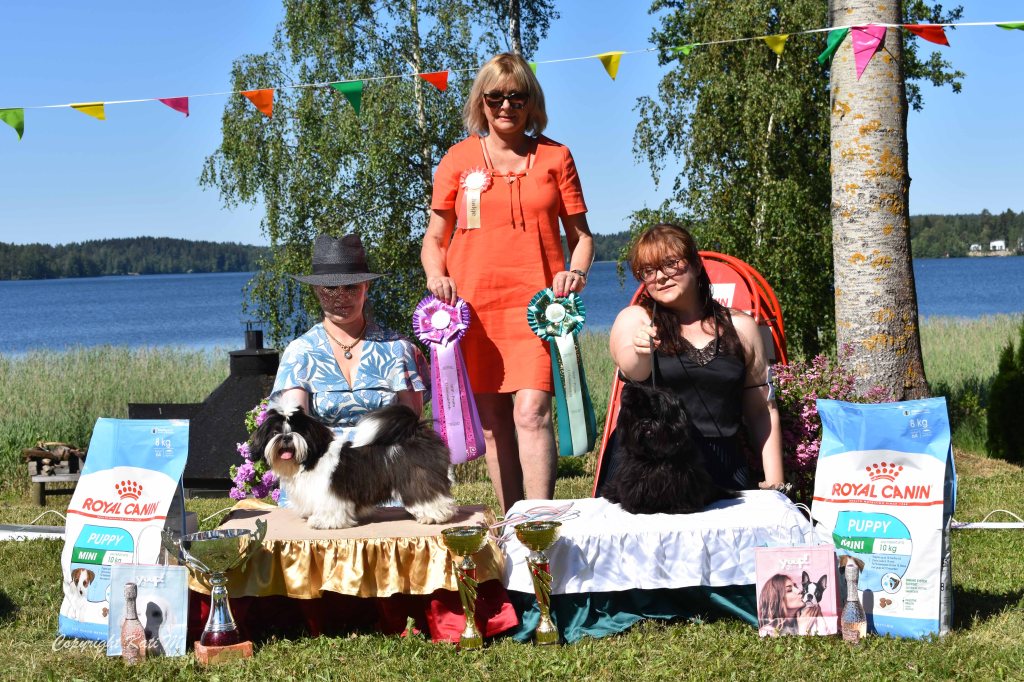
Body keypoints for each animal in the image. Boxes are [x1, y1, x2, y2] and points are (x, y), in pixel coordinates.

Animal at [252, 401, 456, 529]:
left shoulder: (329, 494)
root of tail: (418, 433)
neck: (311, 458)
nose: (286, 437)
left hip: (418, 480)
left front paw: (322, 522)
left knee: (429, 496)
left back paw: (433, 516)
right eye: (275, 432)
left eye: (297, 431)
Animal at [601, 383, 738, 514]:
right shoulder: (634, 475)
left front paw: (681, 508)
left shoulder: (685, 478)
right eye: (637, 415)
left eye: (656, 413)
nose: (646, 422)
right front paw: (640, 507)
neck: (656, 457)